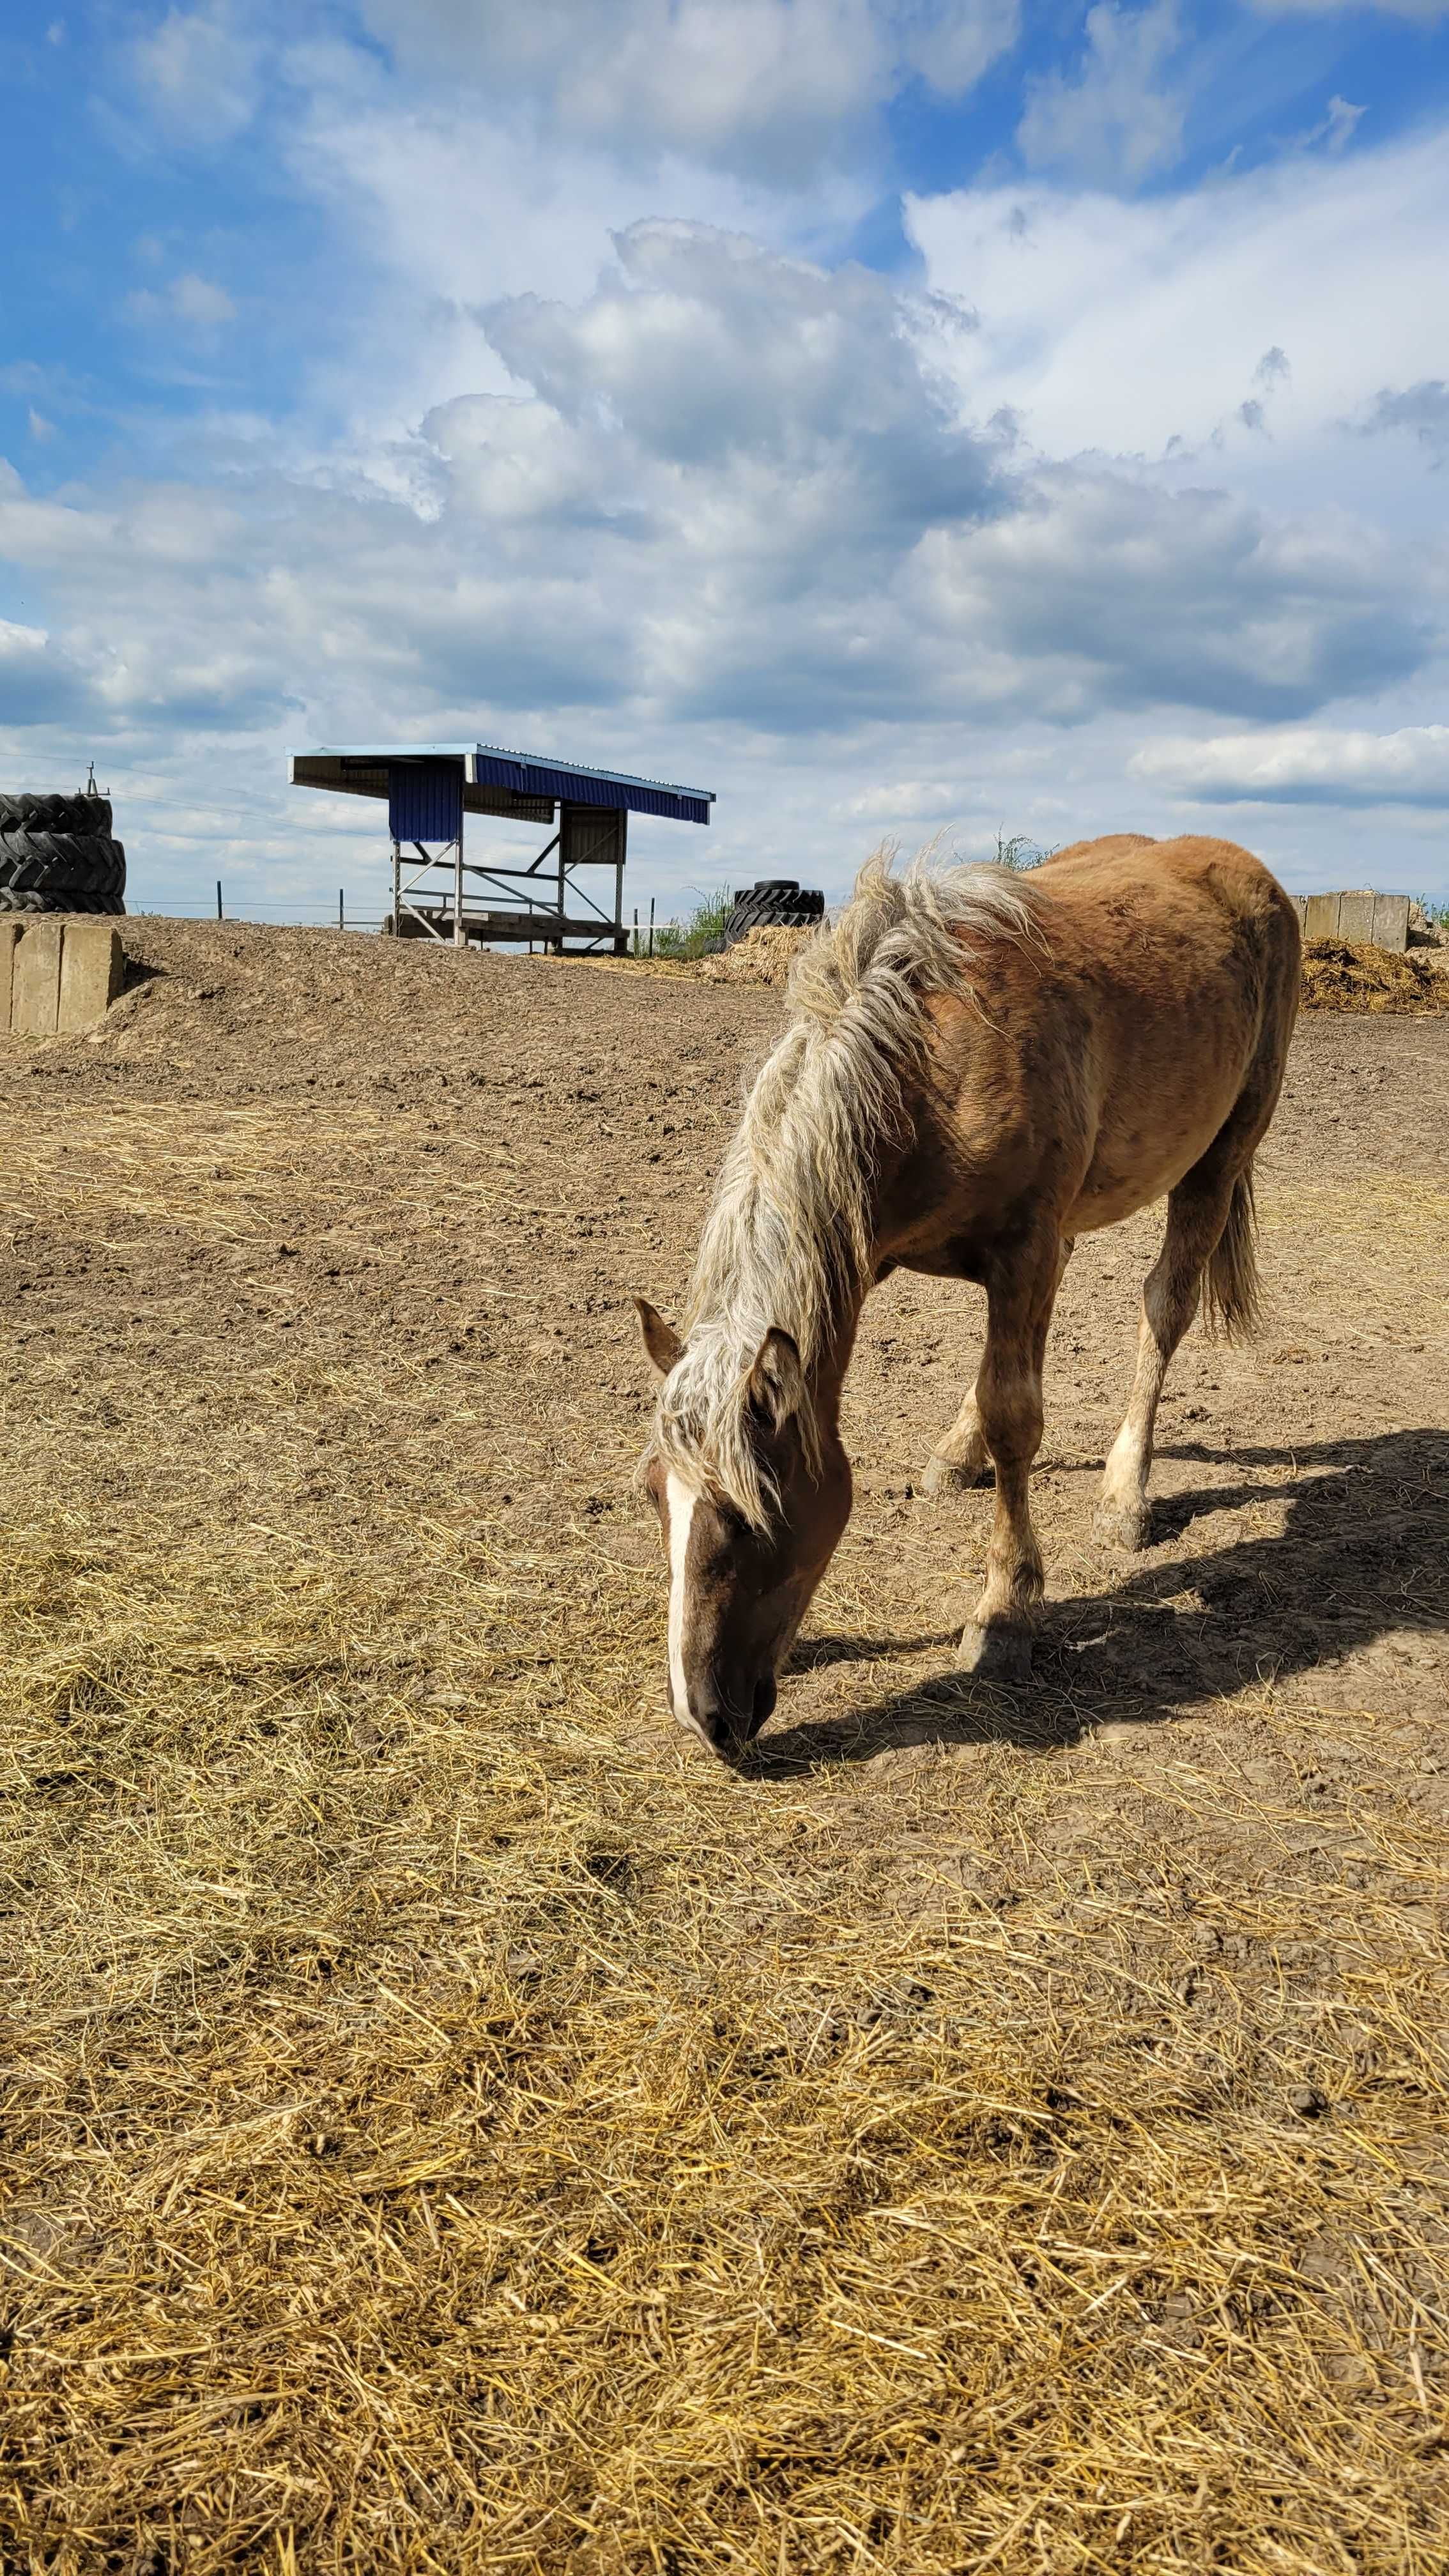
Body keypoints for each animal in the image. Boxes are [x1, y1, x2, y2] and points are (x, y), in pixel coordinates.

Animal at [631, 834, 1299, 1761]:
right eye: (654, 1494)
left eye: (755, 1518)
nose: (706, 1719)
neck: (929, 1063)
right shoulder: (872, 1245)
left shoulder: (1024, 1251)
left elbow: (1018, 1415)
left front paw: (1006, 1614)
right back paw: (959, 1453)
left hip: (1220, 1157)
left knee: (1164, 1310)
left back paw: (1125, 1495)